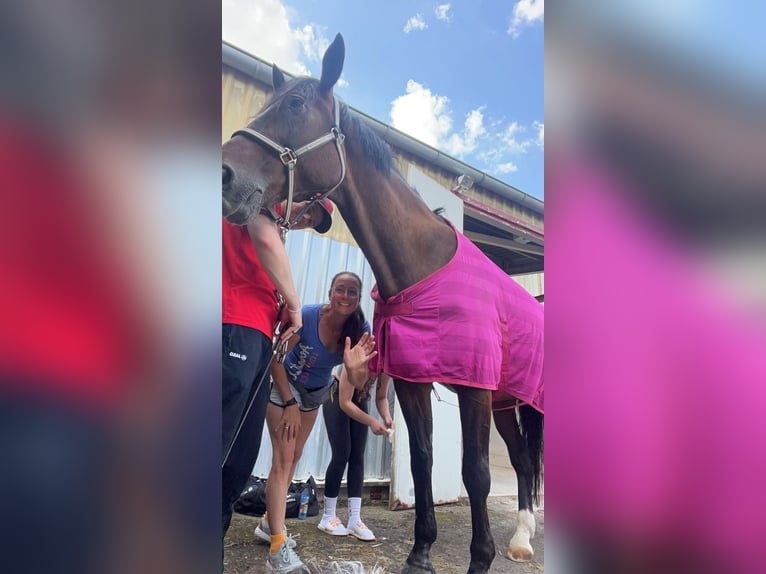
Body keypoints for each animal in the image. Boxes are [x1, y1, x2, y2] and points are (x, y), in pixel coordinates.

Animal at [224, 33, 544, 572]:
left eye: (294, 104)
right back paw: (522, 538)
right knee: (522, 462)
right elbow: (423, 460)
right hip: (509, 402)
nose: (225, 174)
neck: (423, 270)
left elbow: (476, 473)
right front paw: (421, 553)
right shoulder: (415, 386)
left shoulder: (475, 389)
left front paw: (480, 559)